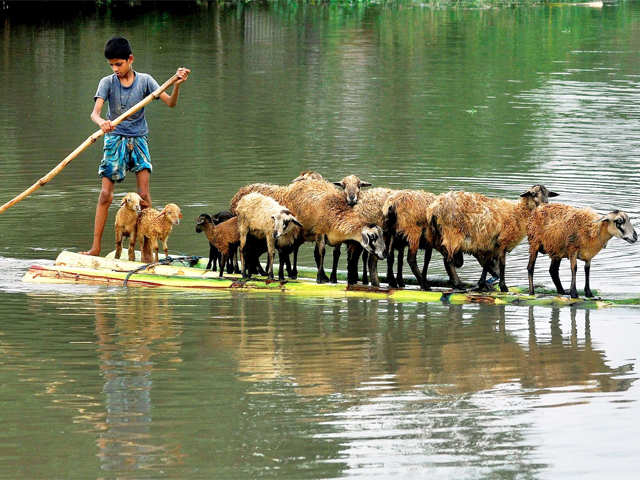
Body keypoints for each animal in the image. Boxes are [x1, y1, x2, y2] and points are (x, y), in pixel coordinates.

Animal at [430, 185, 560, 292]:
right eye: (533, 194)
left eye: (548, 194)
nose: (545, 205)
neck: (519, 213)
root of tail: (435, 207)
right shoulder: (502, 242)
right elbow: (502, 265)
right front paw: (503, 287)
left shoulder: (490, 244)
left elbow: (487, 264)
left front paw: (481, 284)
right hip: (452, 235)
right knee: (448, 261)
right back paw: (458, 284)